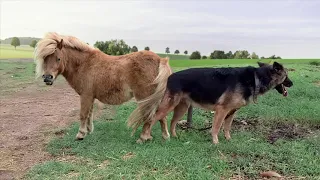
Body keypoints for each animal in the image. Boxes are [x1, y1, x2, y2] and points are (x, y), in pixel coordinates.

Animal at [33, 32, 171, 142]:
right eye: (45, 58)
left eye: (58, 58)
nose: (47, 78)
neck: (84, 64)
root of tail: (160, 60)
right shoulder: (90, 97)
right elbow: (89, 114)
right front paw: (88, 131)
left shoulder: (86, 95)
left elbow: (83, 114)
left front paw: (80, 134)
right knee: (161, 116)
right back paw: (165, 136)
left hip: (145, 98)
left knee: (149, 116)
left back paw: (143, 138)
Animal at [151, 61, 294, 144]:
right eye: (286, 76)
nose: (292, 83)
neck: (256, 78)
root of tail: (170, 76)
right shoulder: (222, 110)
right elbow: (216, 127)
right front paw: (215, 142)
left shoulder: (231, 112)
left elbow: (226, 127)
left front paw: (228, 139)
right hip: (170, 106)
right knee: (153, 118)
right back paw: (147, 136)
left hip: (182, 108)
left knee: (172, 122)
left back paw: (174, 136)